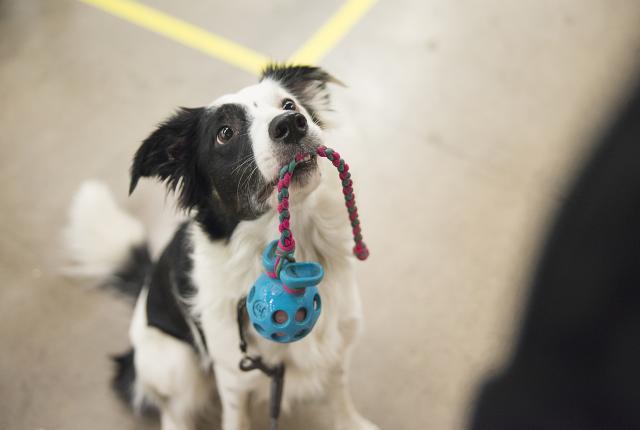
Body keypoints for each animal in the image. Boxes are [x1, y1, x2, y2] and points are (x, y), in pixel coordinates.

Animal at [69, 64, 380, 430]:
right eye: (225, 133)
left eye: (289, 104)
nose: (291, 124)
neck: (296, 243)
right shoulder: (234, 375)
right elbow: (236, 419)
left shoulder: (341, 337)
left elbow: (338, 393)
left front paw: (351, 422)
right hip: (176, 362)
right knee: (172, 412)